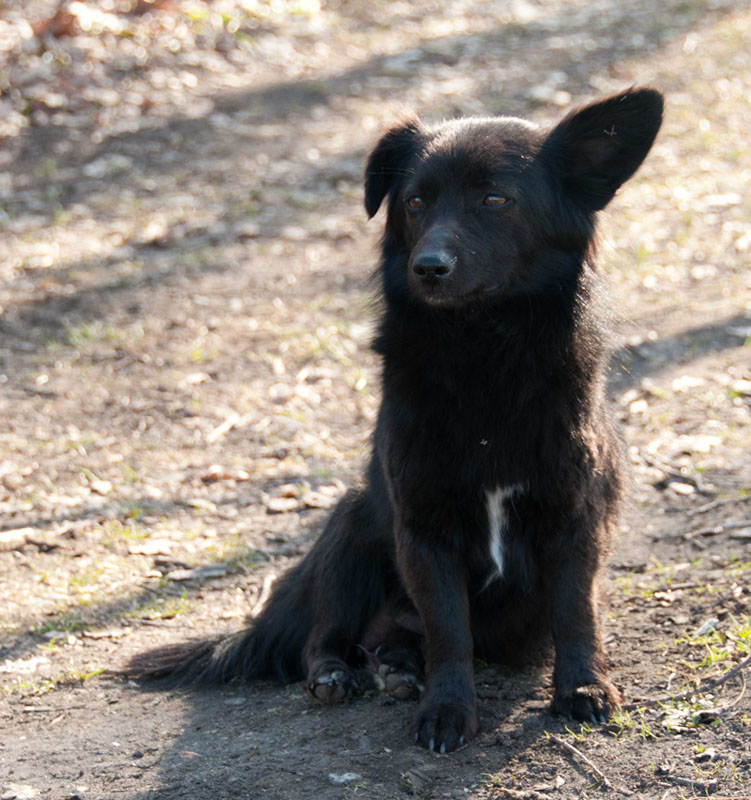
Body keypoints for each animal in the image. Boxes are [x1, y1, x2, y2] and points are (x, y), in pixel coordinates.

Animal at [131, 90, 664, 752]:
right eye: (415, 201)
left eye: (496, 199)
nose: (427, 266)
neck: (482, 353)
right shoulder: (422, 528)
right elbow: (449, 632)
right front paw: (448, 711)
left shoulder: (573, 518)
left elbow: (575, 612)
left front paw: (583, 687)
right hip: (353, 522)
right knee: (325, 634)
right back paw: (340, 673)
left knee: (399, 641)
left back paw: (399, 668)